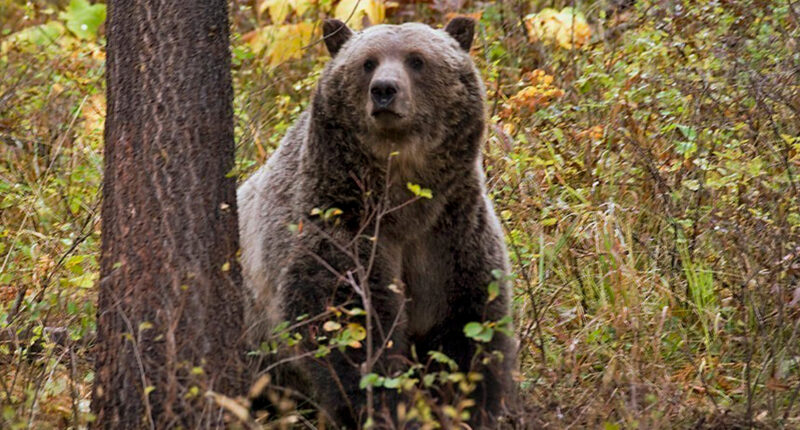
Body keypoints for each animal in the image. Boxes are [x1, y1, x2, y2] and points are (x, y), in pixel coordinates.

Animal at [237, 17, 516, 428]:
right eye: (367, 62)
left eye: (417, 59)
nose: (384, 90)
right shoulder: (340, 224)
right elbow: (351, 329)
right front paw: (386, 408)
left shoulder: (451, 233)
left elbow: (470, 328)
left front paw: (469, 407)